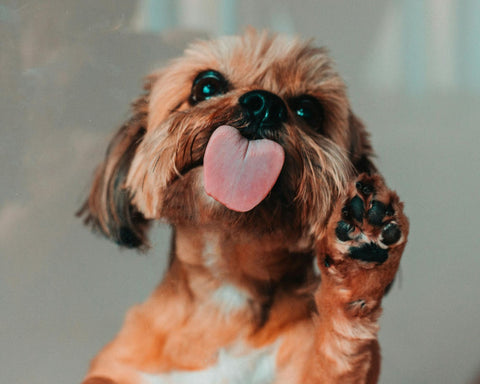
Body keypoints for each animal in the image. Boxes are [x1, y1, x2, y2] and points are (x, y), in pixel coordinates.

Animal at [79, 30, 408, 384]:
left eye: (309, 110)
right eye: (206, 86)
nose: (265, 103)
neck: (228, 285)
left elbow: (336, 349)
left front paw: (363, 261)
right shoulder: (119, 367)